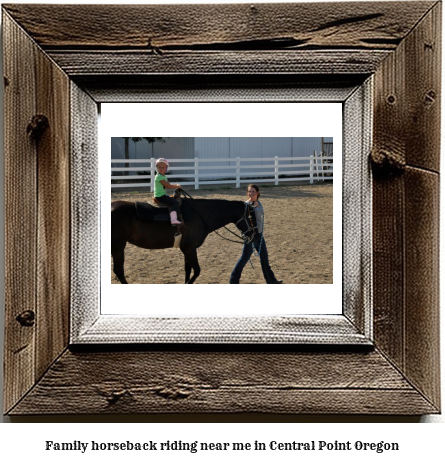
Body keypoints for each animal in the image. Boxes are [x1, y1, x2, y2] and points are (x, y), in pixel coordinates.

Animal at [110, 195, 251, 284]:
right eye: (251, 216)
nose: (253, 233)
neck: (200, 214)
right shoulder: (189, 249)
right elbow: (197, 271)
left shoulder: (186, 249)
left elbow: (188, 270)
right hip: (118, 247)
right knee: (119, 270)